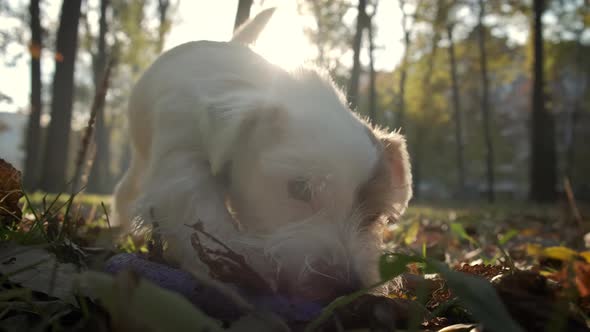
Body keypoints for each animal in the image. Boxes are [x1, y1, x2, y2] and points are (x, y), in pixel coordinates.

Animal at [113, 9, 414, 302]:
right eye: (300, 188)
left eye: (374, 214)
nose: (347, 287)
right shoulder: (181, 156)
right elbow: (201, 205)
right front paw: (238, 264)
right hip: (139, 158)